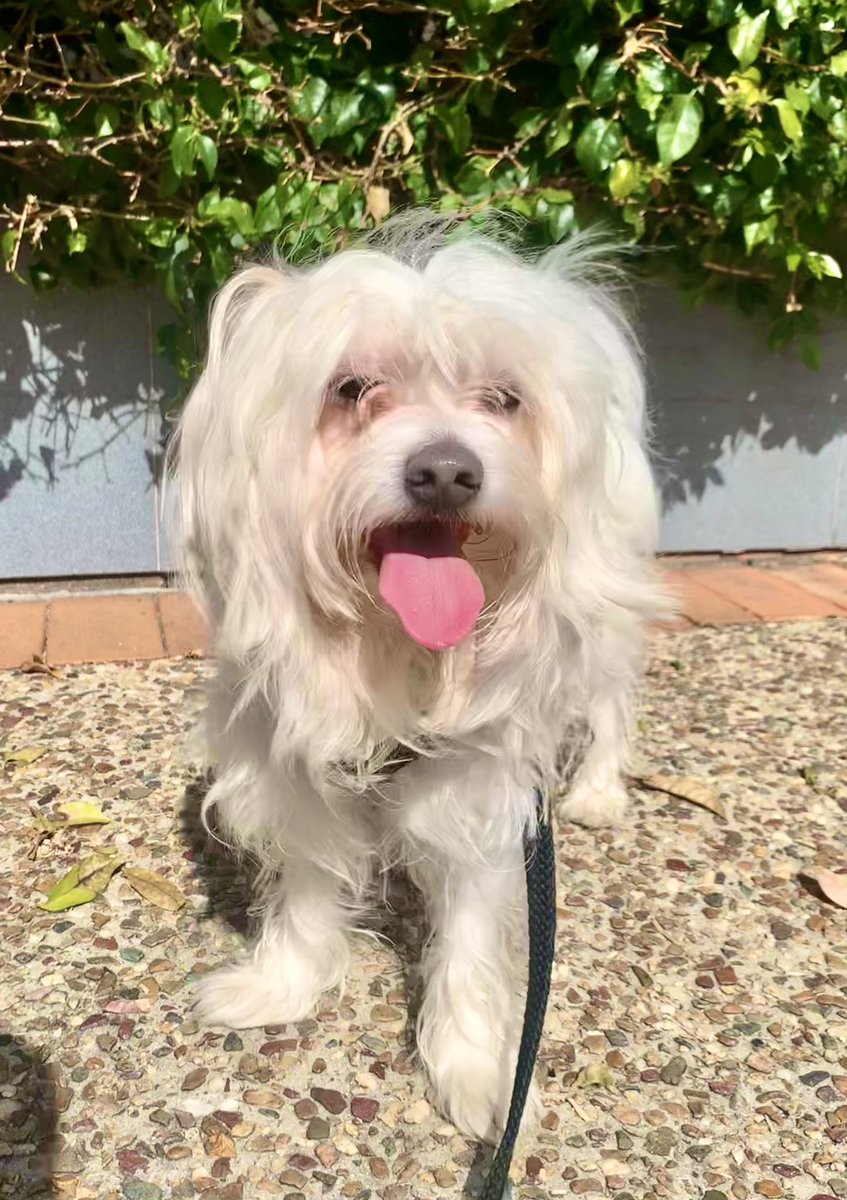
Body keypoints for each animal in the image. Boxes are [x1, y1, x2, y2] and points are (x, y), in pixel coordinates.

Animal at [176, 216, 667, 1142]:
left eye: (503, 398)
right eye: (351, 387)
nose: (445, 471)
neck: (392, 655)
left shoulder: (477, 784)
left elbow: (470, 929)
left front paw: (478, 1070)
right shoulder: (292, 763)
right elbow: (306, 882)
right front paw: (280, 986)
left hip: (603, 626)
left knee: (611, 704)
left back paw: (596, 791)